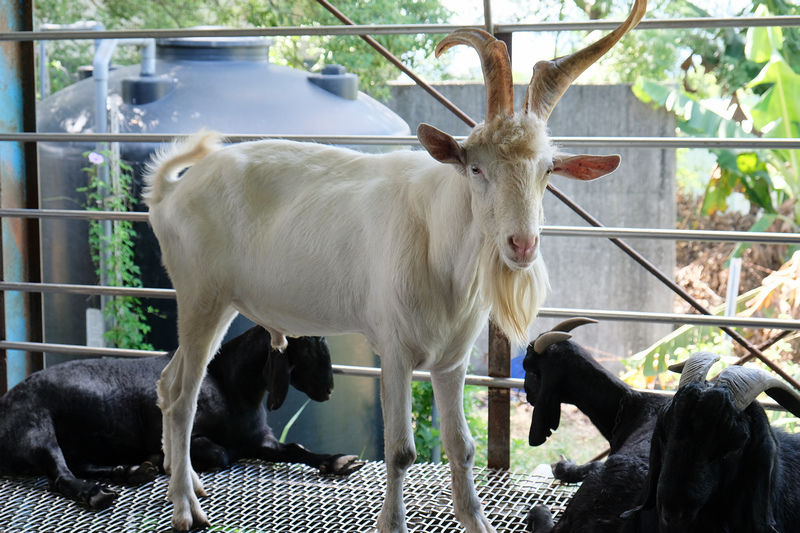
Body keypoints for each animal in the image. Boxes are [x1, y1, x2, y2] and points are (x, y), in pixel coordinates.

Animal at [0, 326, 362, 510]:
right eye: (308, 343)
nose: (329, 388)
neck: (227, 382)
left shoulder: (261, 439)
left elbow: (295, 448)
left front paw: (338, 461)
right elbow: (220, 454)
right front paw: (166, 461)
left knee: (80, 463)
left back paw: (131, 471)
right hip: (35, 429)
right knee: (60, 474)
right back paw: (98, 492)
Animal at [142, 3, 644, 528]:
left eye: (547, 171)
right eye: (476, 167)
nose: (522, 244)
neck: (439, 247)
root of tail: (170, 193)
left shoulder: (452, 361)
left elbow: (461, 445)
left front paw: (476, 520)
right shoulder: (396, 351)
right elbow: (400, 450)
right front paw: (393, 523)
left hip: (213, 303)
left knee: (166, 382)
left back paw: (185, 478)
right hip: (200, 296)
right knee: (183, 397)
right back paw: (186, 507)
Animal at [524, 318, 668, 528]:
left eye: (530, 370)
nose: (527, 394)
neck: (629, 407)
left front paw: (563, 467)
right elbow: (594, 464)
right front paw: (566, 467)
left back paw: (539, 511)